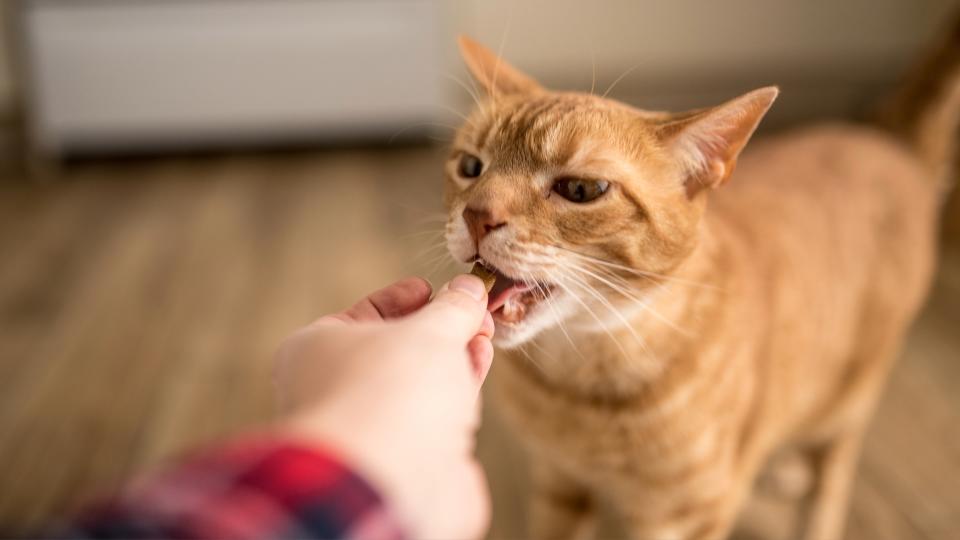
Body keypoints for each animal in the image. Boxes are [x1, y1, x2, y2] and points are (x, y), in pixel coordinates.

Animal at [442, 30, 952, 540]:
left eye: (581, 191)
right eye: (470, 166)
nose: (477, 215)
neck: (578, 383)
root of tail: (890, 143)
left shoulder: (684, 516)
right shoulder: (559, 481)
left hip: (852, 392)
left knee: (834, 468)